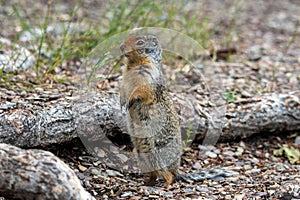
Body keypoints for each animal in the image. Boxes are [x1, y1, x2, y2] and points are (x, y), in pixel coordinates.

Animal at [119, 34, 180, 186]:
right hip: (140, 155)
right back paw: (147, 182)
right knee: (153, 173)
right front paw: (122, 101)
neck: (134, 63)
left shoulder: (148, 74)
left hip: (156, 153)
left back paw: (166, 184)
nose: (121, 46)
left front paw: (130, 100)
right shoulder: (125, 76)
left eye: (140, 42)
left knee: (168, 175)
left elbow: (142, 90)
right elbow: (122, 87)